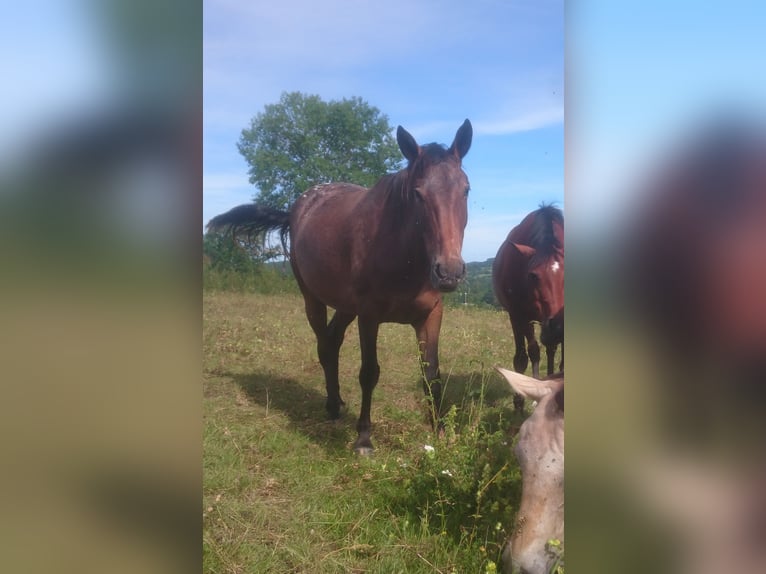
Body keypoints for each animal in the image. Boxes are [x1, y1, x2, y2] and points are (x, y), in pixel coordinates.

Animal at [210, 120, 474, 454]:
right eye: (418, 194)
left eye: (465, 190)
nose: (449, 272)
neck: (404, 257)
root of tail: (300, 206)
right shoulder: (369, 316)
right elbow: (369, 372)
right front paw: (363, 438)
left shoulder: (430, 316)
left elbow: (431, 375)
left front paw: (440, 433)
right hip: (313, 298)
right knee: (324, 345)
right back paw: (333, 405)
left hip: (347, 307)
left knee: (333, 340)